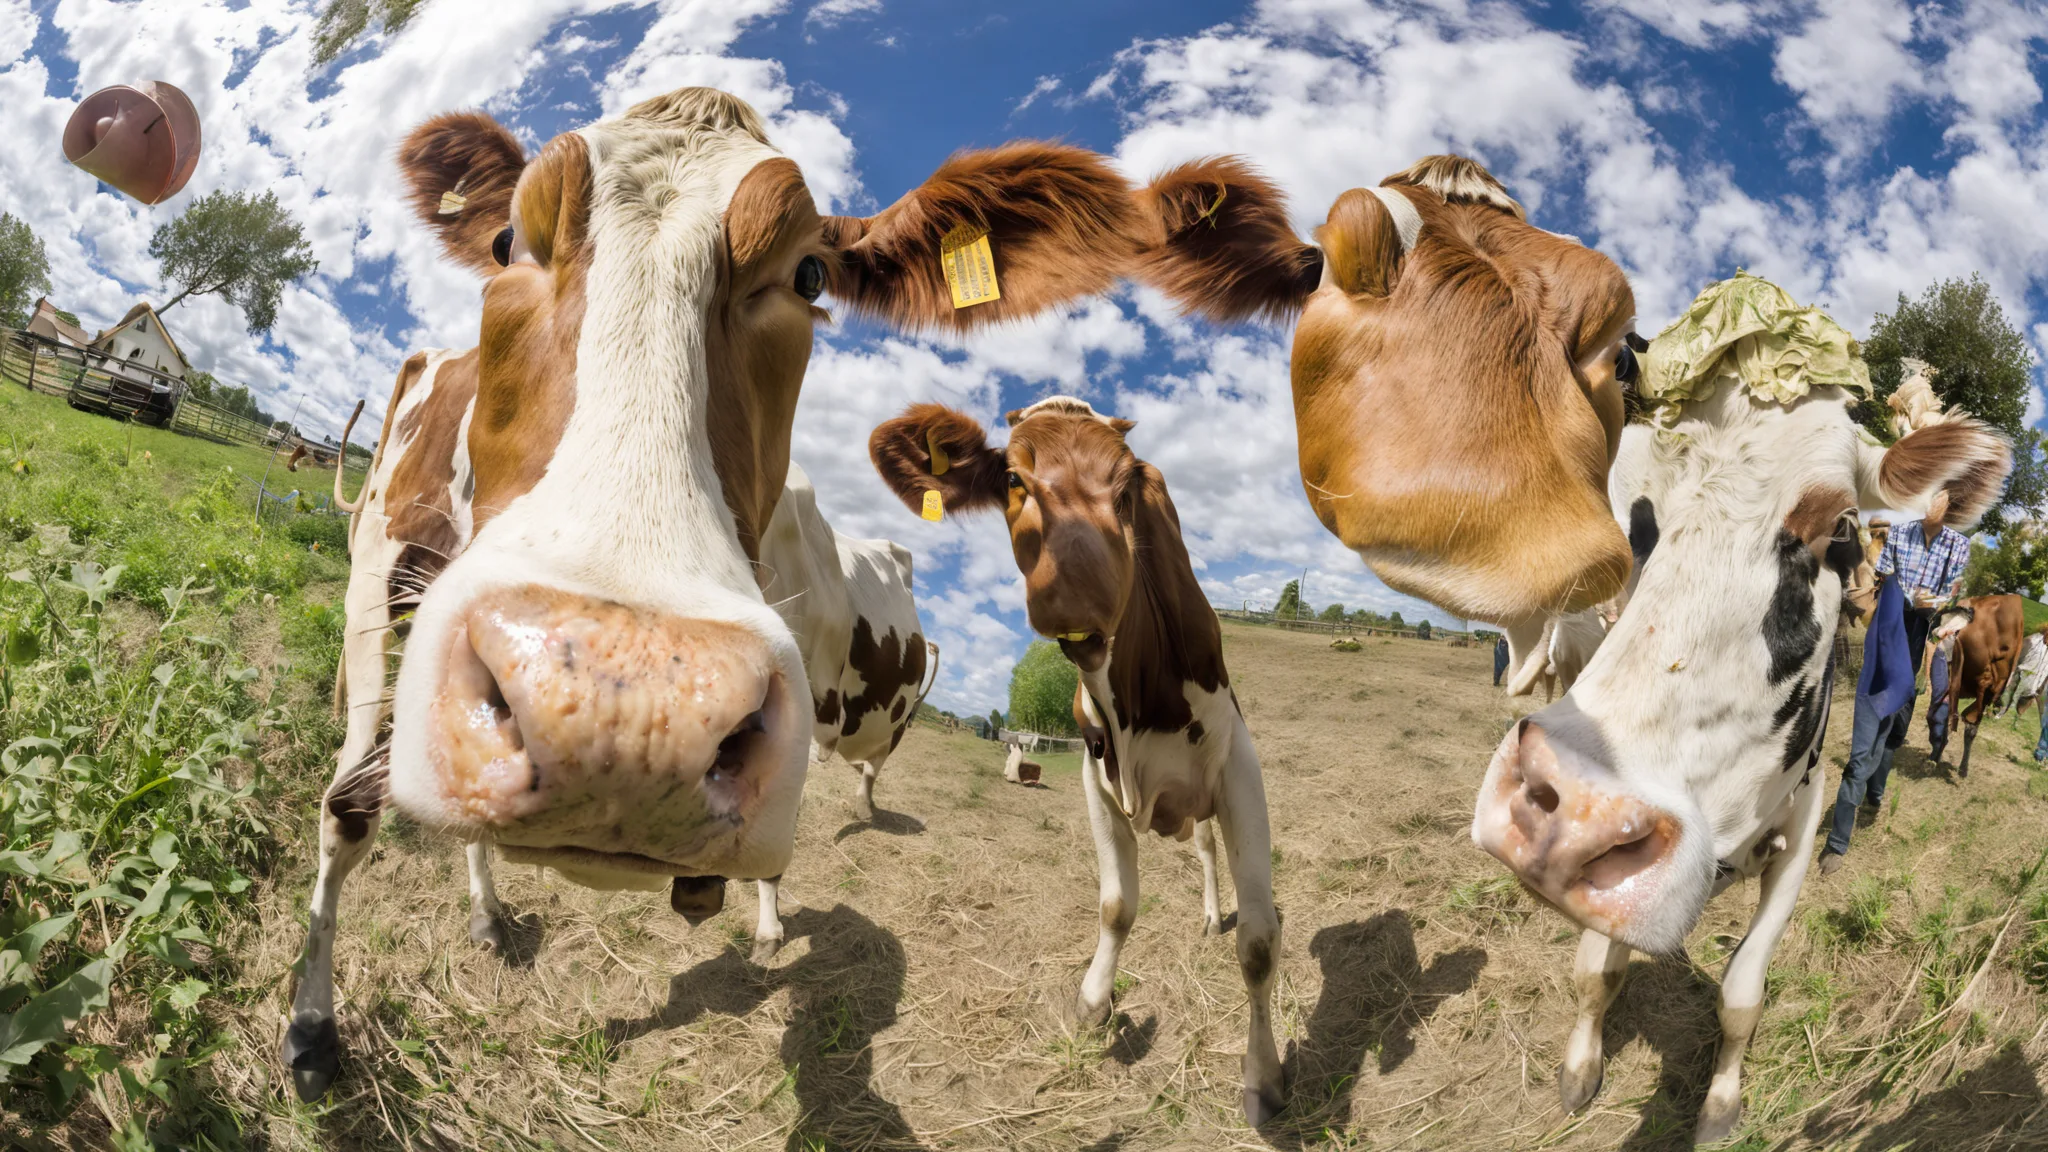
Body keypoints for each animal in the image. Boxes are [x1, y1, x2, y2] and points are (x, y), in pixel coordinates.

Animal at [280, 86, 1150, 1102]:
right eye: (505, 243)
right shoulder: (373, 585)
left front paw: (762, 917)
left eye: (810, 274)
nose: (625, 718)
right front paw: (311, 1028)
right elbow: (348, 807)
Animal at [869, 396, 1283, 1123]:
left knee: (1208, 849)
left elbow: (1259, 942)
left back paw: (1212, 913)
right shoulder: (1097, 771)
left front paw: (1262, 1077)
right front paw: (1094, 1000)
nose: (1075, 594)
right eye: (1013, 478)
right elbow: (1116, 905)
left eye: (1126, 488)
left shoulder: (1237, 762)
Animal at [1466, 278, 2012, 1143]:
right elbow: (1594, 972)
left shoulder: (1800, 833)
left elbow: (1742, 995)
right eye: (1626, 516)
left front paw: (1721, 1104)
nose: (1572, 815)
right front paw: (1582, 1065)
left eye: (1840, 529)